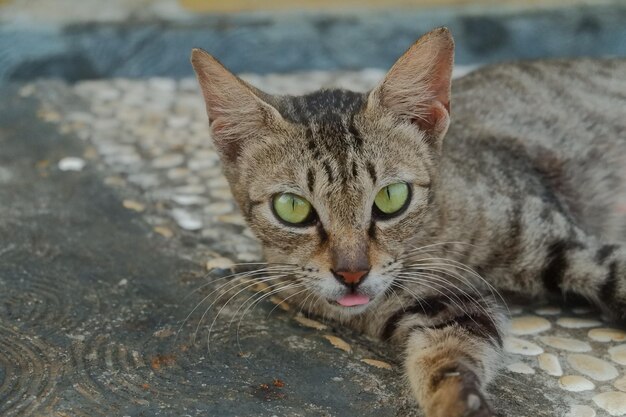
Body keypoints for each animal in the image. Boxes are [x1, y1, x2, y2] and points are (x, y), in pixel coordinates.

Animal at [190, 27, 624, 414]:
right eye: (292, 207)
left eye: (391, 198)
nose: (351, 273)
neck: (441, 236)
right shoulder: (446, 310)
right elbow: (446, 366)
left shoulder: (569, 245)